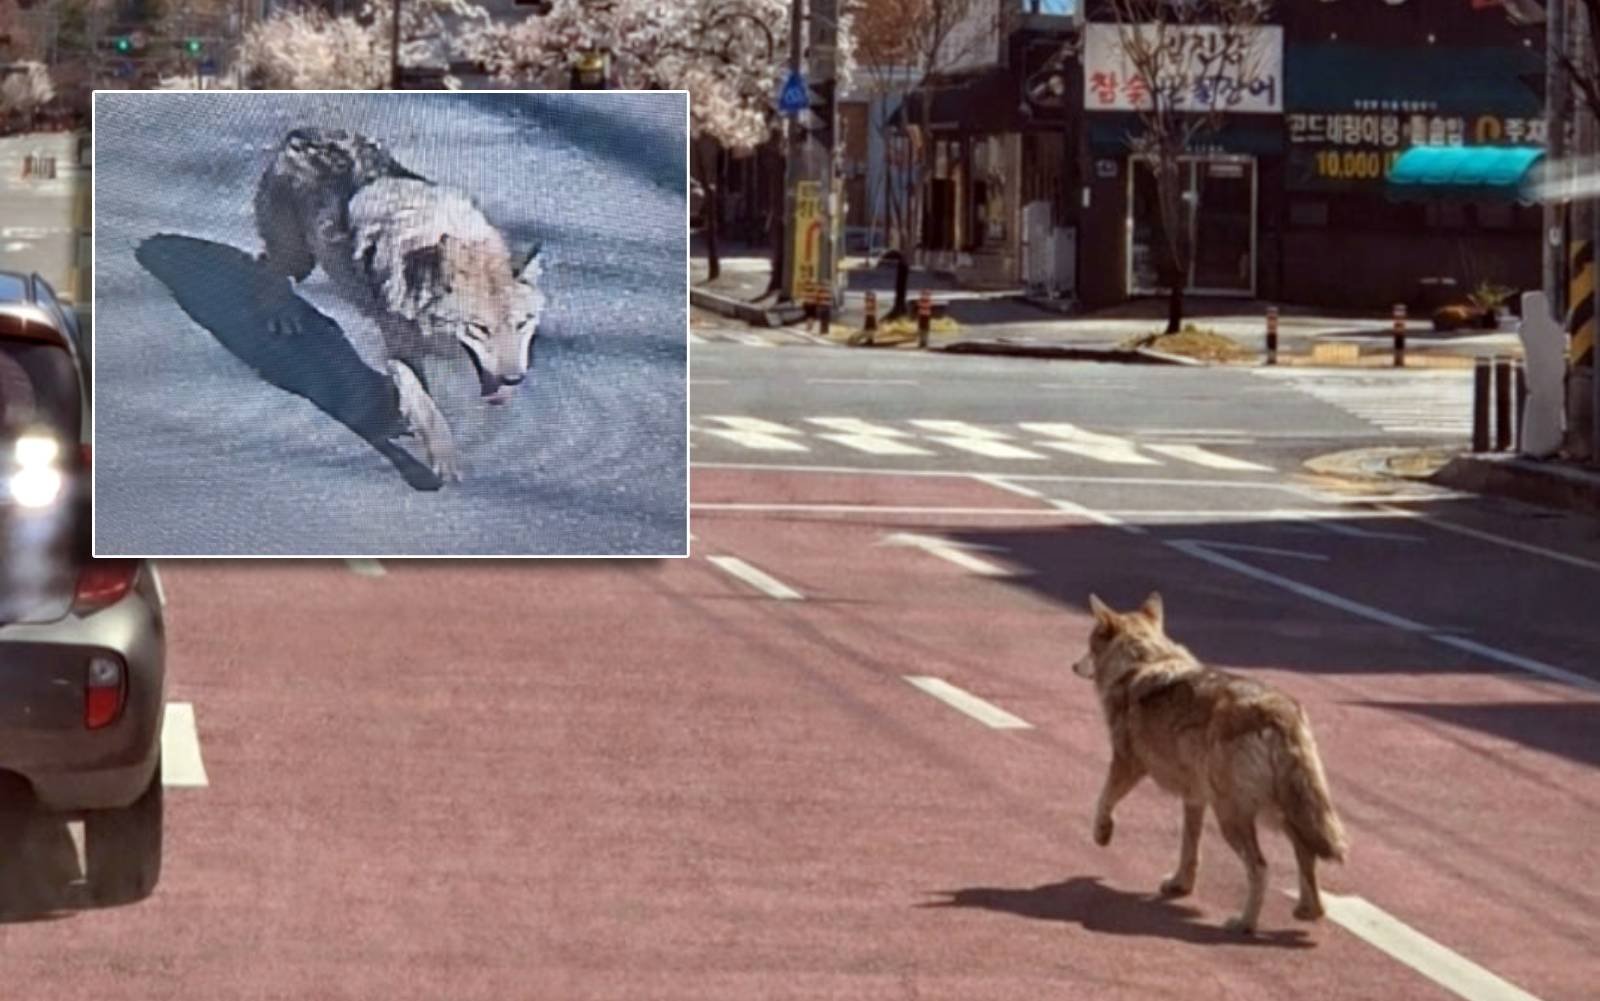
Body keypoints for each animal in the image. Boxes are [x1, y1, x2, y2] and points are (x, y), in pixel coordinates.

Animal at [253, 128, 546, 482]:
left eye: (522, 324)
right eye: (480, 328)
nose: (514, 380)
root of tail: (301, 133)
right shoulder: (399, 348)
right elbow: (427, 407)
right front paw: (443, 458)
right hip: (298, 260)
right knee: (265, 263)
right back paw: (279, 315)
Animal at [1071, 592, 1348, 935]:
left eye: (1089, 644)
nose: (1073, 666)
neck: (1142, 661)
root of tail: (1279, 712)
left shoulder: (1127, 764)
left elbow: (1103, 800)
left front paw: (1102, 834)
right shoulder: (1194, 797)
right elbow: (1190, 849)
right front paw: (1180, 885)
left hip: (1233, 817)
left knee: (1261, 868)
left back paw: (1244, 924)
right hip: (1280, 812)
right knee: (1306, 854)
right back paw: (1308, 911)